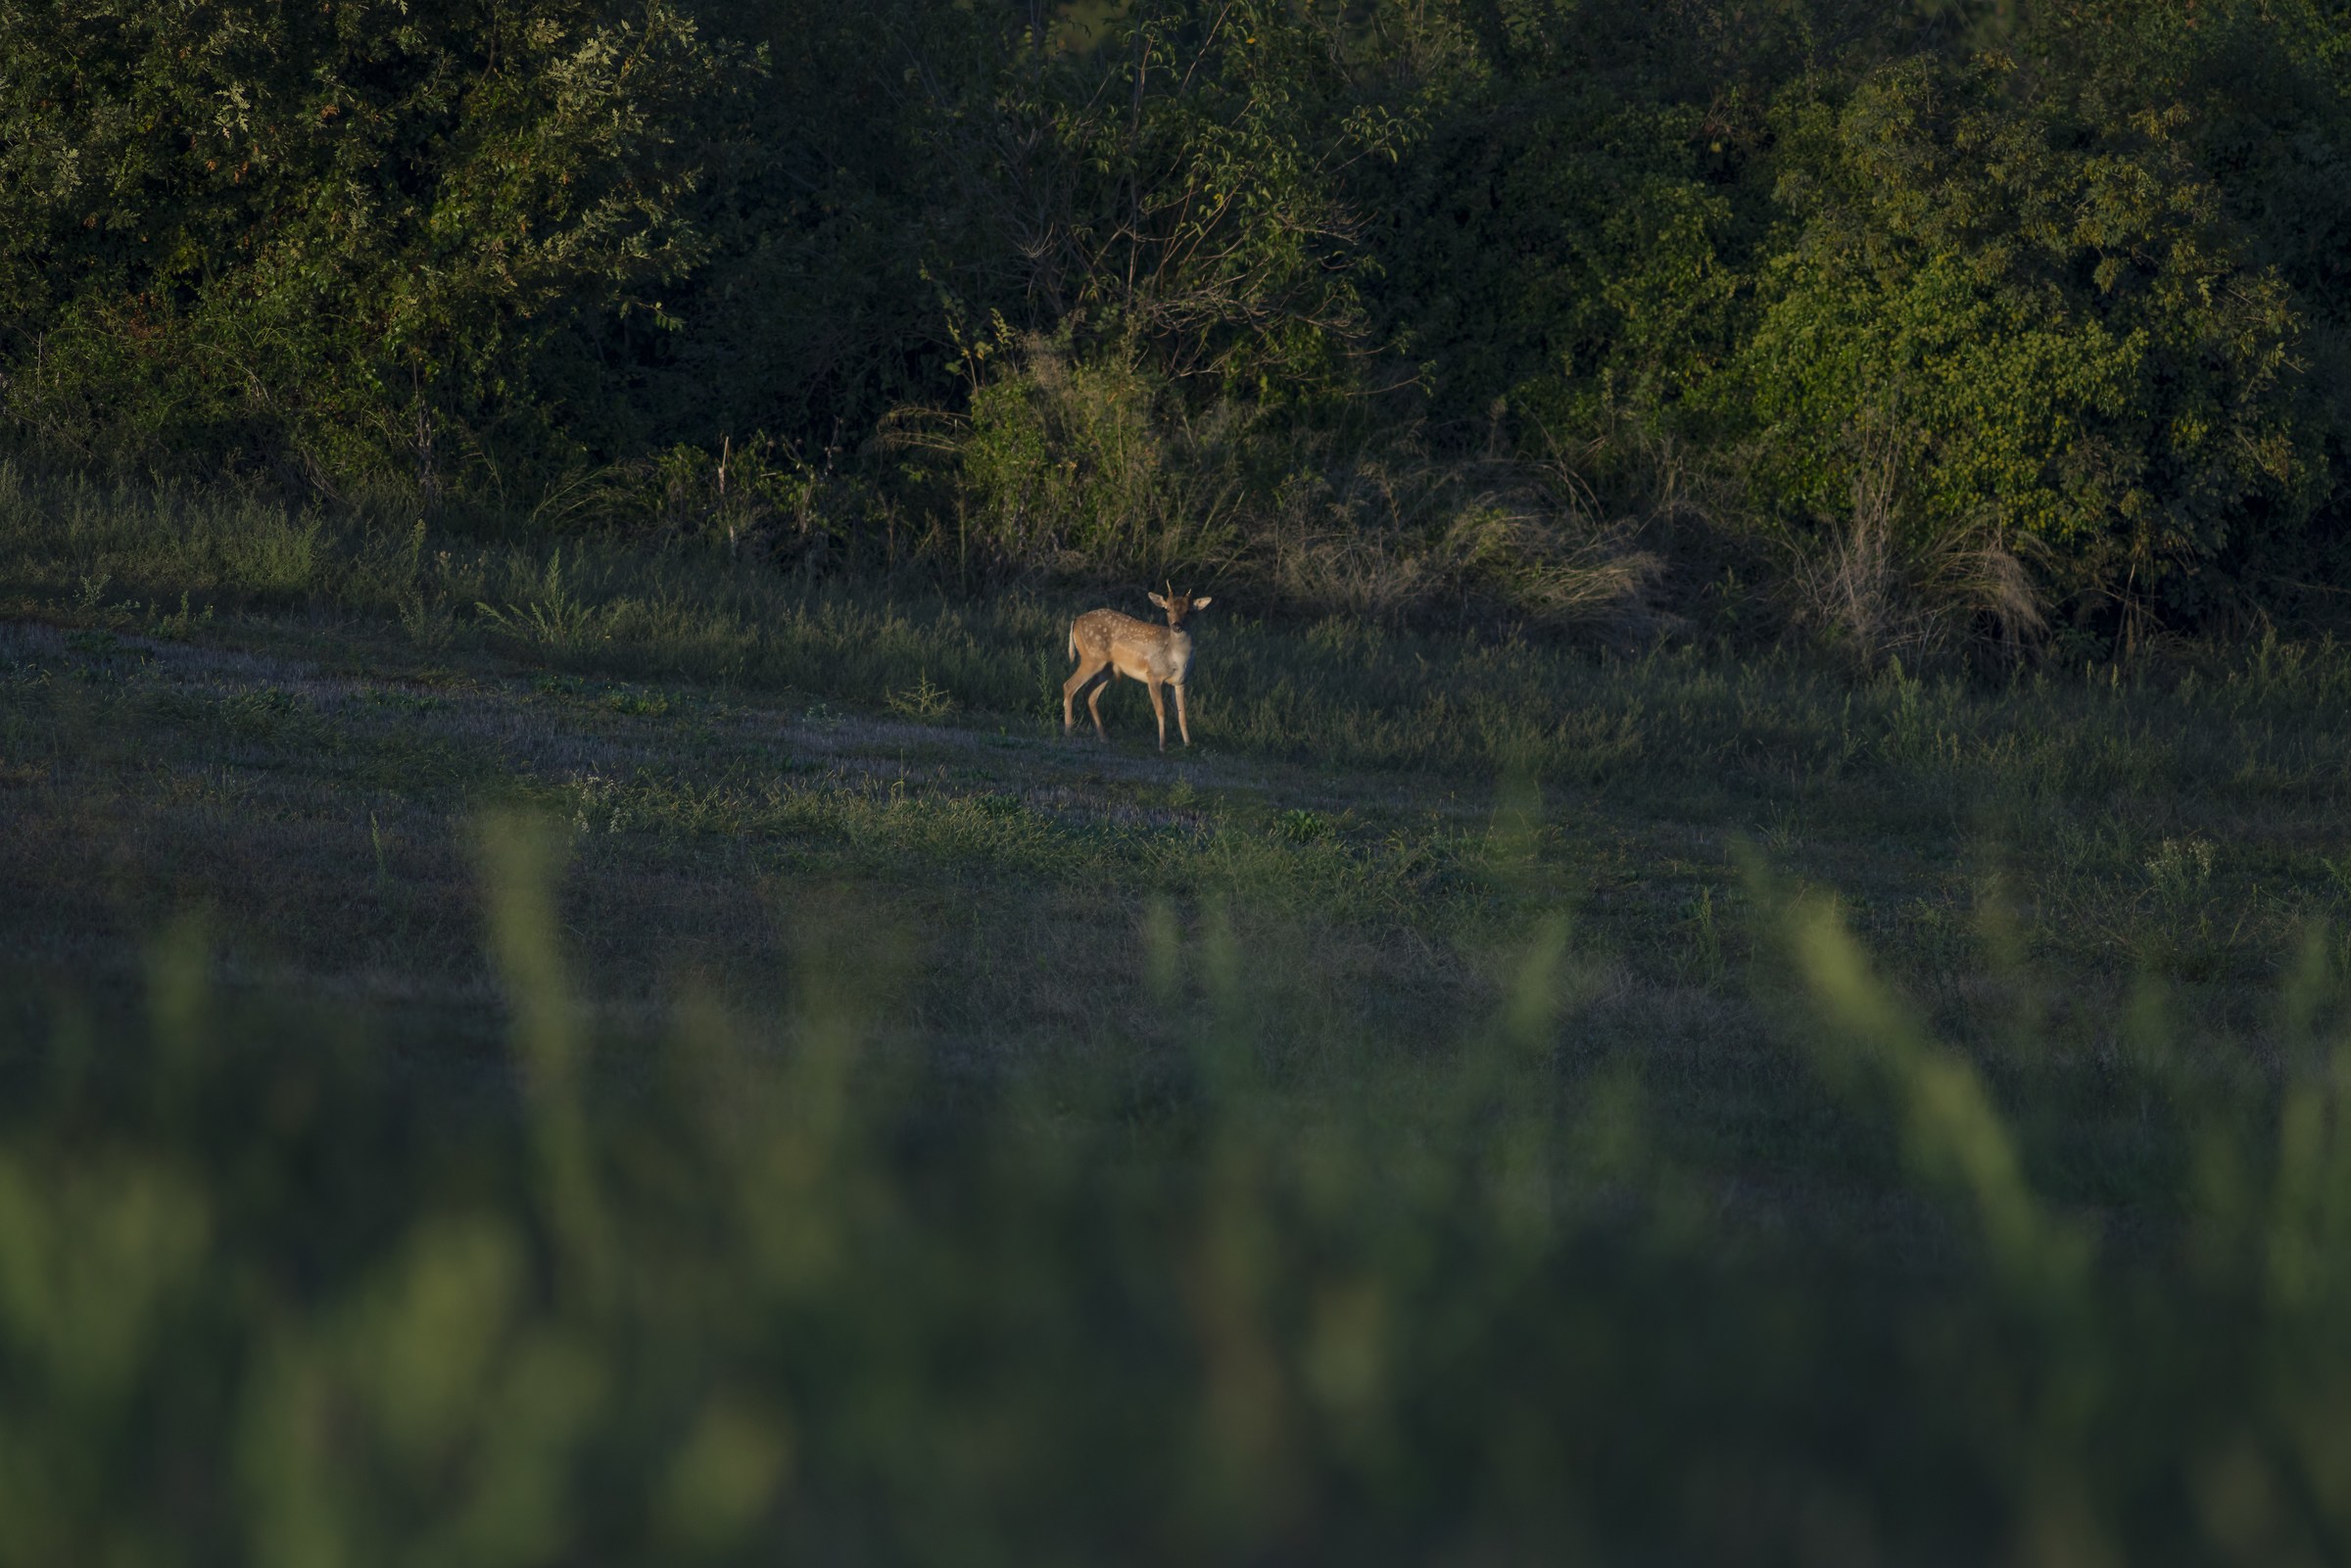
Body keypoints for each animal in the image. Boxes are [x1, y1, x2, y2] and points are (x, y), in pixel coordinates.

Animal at [1062, 583, 1214, 751]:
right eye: (1167, 609)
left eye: (1188, 611)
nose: (1176, 626)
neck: (1177, 658)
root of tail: (1076, 620)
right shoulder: (1153, 675)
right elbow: (1161, 711)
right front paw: (1162, 745)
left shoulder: (1180, 681)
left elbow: (1182, 714)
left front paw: (1188, 744)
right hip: (1091, 658)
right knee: (1069, 686)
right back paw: (1069, 731)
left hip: (1107, 668)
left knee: (1090, 694)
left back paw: (1103, 737)